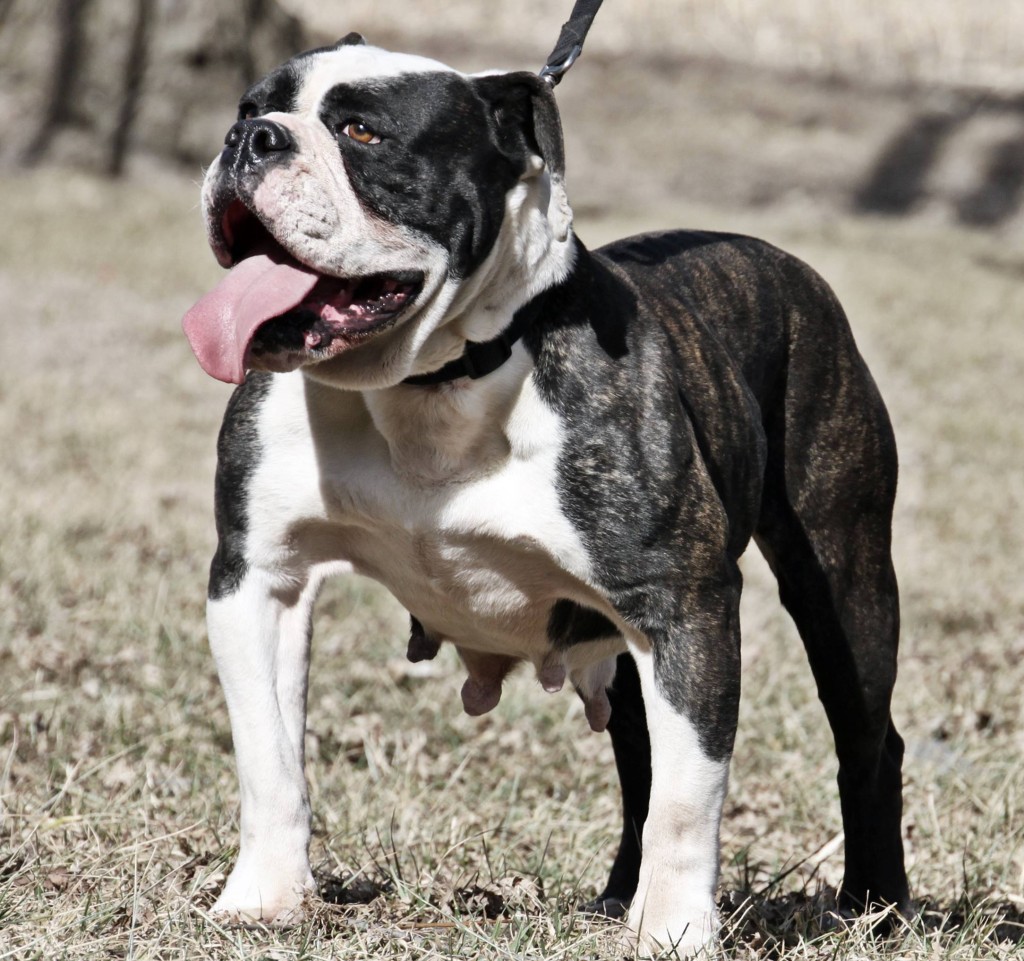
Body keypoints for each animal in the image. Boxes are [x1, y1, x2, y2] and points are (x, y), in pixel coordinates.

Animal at [180, 33, 909, 954]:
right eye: (249, 108)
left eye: (362, 133)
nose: (252, 140)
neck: (432, 382)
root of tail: (775, 258)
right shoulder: (258, 579)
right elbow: (268, 758)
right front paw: (263, 899)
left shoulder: (684, 606)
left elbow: (689, 799)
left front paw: (677, 931)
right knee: (641, 763)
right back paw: (619, 895)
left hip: (844, 586)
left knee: (866, 740)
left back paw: (875, 904)